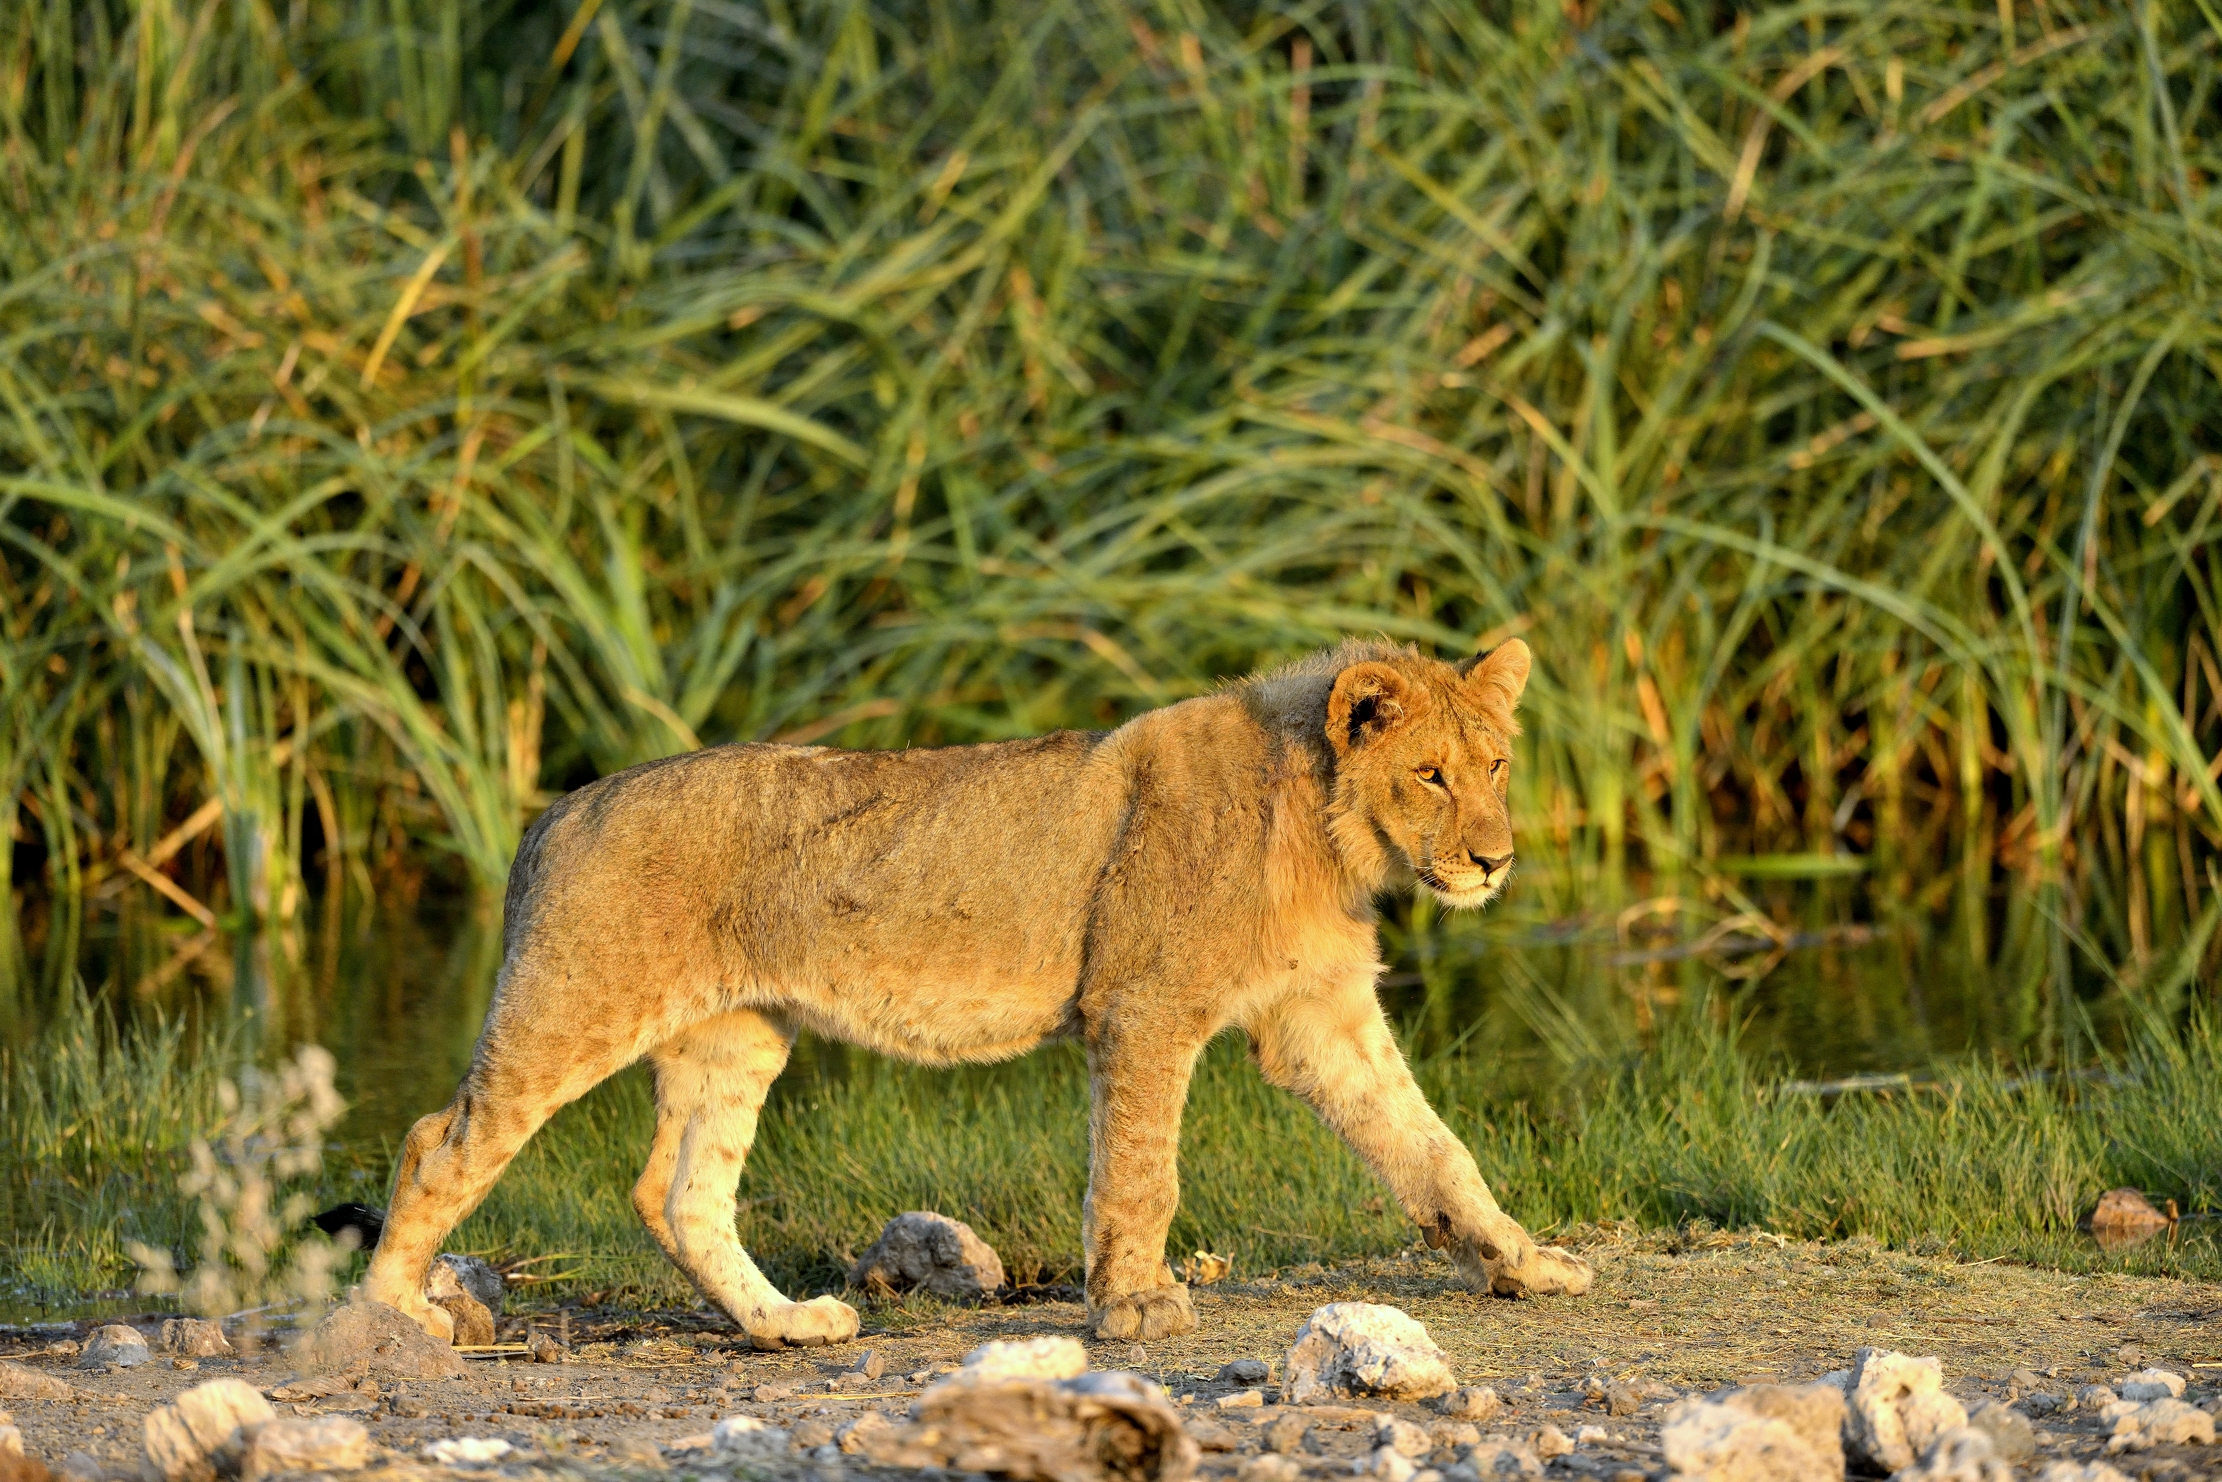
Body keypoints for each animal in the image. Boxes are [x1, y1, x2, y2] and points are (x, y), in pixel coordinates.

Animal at [362, 636, 1593, 1347]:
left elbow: (1433, 1149)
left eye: (1494, 765)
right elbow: (1140, 1172)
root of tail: (557, 811)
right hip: (573, 1006)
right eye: (1428, 774)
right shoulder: (1142, 1007)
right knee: (437, 1143)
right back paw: (390, 1317)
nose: (1494, 862)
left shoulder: (1317, 1017)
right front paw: (1134, 1306)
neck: (1325, 826)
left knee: (678, 1194)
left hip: (735, 1036)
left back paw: (788, 1326)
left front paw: (1523, 1263)